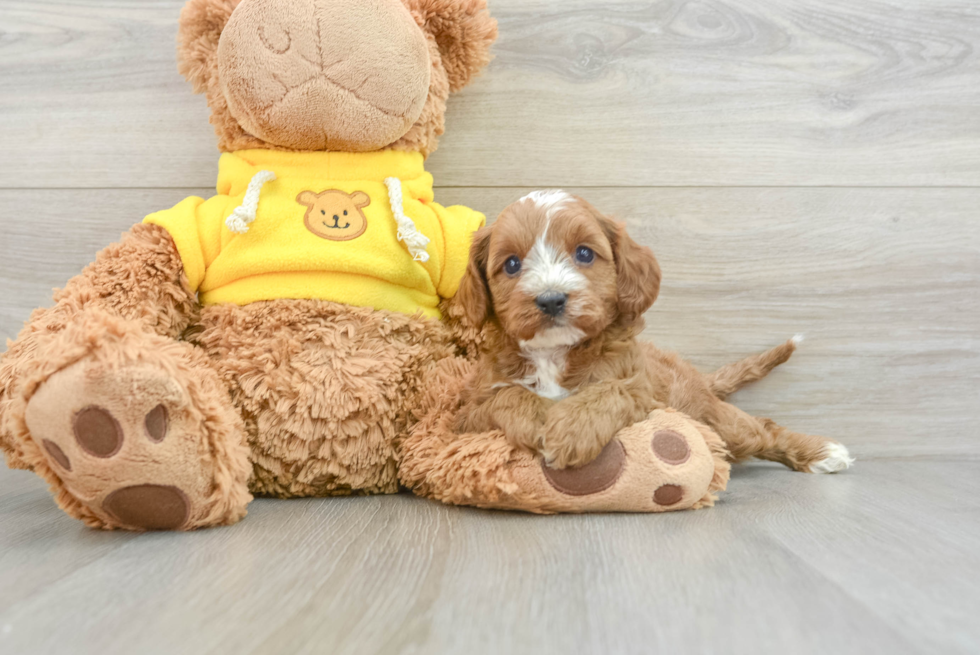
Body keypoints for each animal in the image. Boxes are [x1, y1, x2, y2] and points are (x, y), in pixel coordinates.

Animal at [456, 192, 852, 474]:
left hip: (713, 419)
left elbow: (612, 391)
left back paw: (824, 453)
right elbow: (506, 396)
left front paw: (572, 429)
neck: (554, 353)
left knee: (762, 429)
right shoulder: (467, 414)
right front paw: (540, 417)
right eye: (511, 264)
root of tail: (698, 378)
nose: (551, 299)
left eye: (584, 253)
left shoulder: (643, 390)